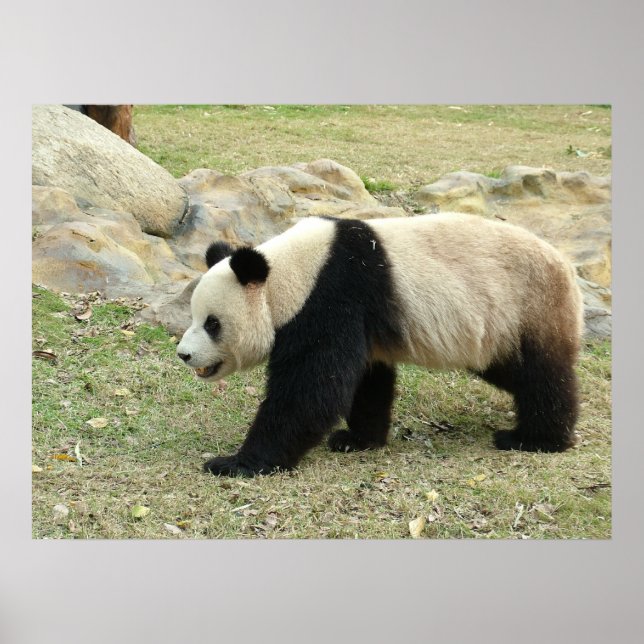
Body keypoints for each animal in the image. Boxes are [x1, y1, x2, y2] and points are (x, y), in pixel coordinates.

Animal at [176, 213, 584, 477]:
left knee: (541, 375)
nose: (184, 355)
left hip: (528, 305)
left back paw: (535, 439)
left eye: (212, 324)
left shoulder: (332, 297)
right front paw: (357, 439)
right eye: (194, 317)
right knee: (511, 371)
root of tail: (566, 267)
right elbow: (365, 381)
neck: (290, 272)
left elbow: (311, 392)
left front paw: (236, 463)